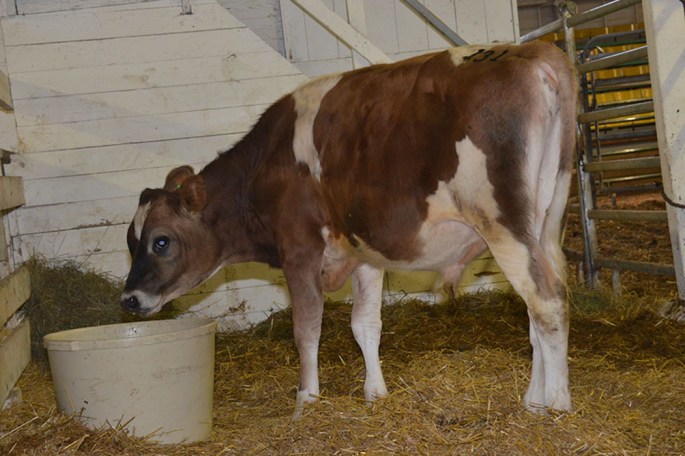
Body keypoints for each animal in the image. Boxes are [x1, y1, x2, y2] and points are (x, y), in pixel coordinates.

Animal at [121, 41, 577, 418]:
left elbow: (307, 328)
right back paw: (533, 400)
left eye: (161, 241)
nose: (129, 299)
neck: (264, 168)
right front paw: (375, 393)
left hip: (503, 224)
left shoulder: (299, 248)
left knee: (547, 300)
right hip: (545, 223)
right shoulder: (363, 252)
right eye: (131, 241)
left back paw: (558, 404)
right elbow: (365, 324)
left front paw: (306, 400)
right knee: (541, 304)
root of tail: (533, 54)